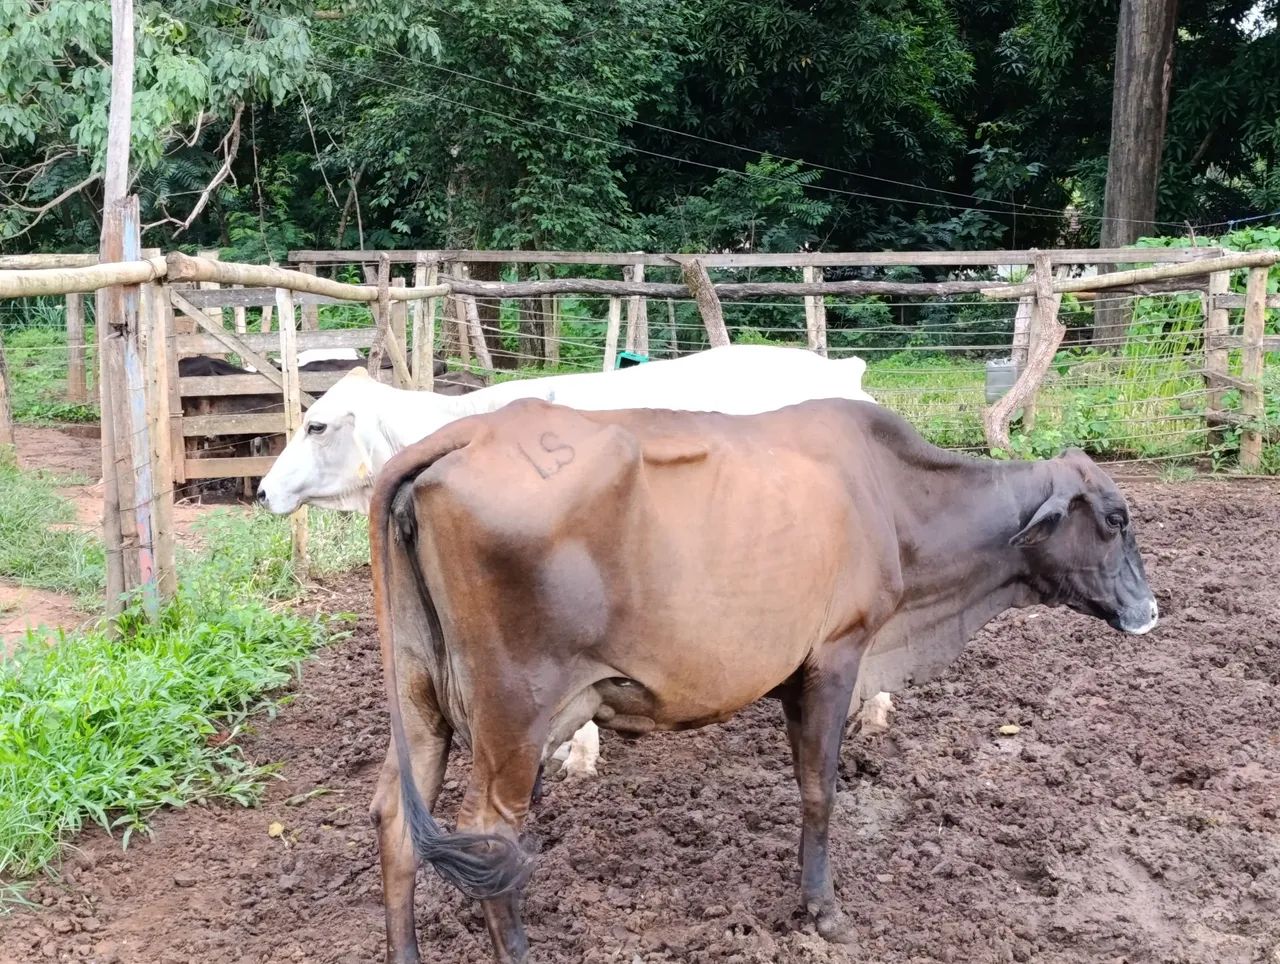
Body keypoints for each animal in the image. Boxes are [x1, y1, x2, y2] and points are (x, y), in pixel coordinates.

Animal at [368, 397, 1159, 963]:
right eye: (1115, 518)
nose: (1149, 609)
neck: (892, 498)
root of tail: (470, 432)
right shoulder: (837, 654)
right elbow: (820, 788)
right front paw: (824, 911)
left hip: (420, 701)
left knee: (398, 818)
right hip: (515, 711)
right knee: (488, 836)